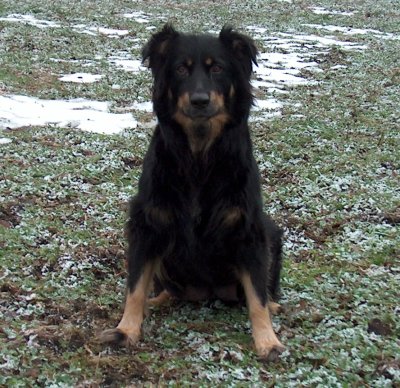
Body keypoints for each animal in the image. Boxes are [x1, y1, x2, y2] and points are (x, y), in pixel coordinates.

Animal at [101, 24, 286, 360]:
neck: (199, 155)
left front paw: (267, 341)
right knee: (166, 290)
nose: (200, 100)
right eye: (180, 69)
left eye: (218, 68)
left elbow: (257, 296)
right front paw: (126, 330)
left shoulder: (249, 230)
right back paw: (156, 301)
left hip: (272, 234)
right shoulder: (147, 225)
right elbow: (135, 286)